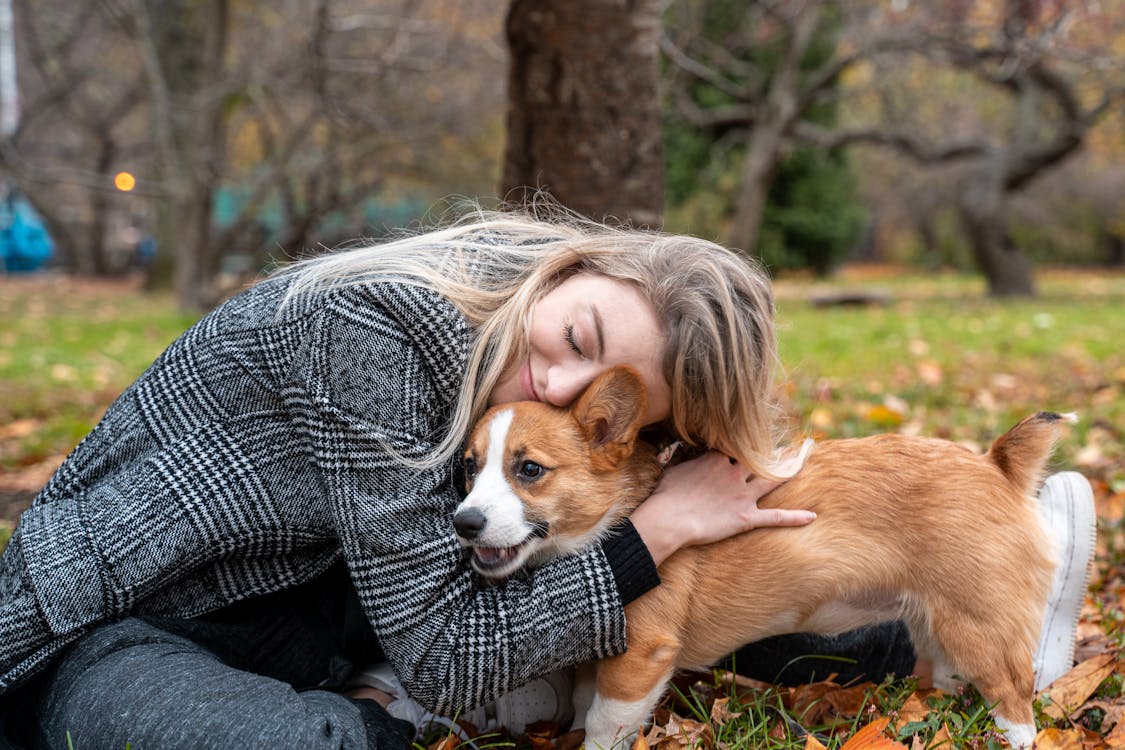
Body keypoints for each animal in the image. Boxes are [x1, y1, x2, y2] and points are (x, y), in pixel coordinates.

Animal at [452, 366, 1066, 746]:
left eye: (530, 469)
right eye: (469, 468)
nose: (463, 523)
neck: (615, 519)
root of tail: (995, 463)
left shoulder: (640, 660)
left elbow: (603, 726)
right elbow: (583, 708)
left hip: (980, 626)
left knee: (1016, 703)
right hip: (937, 626)